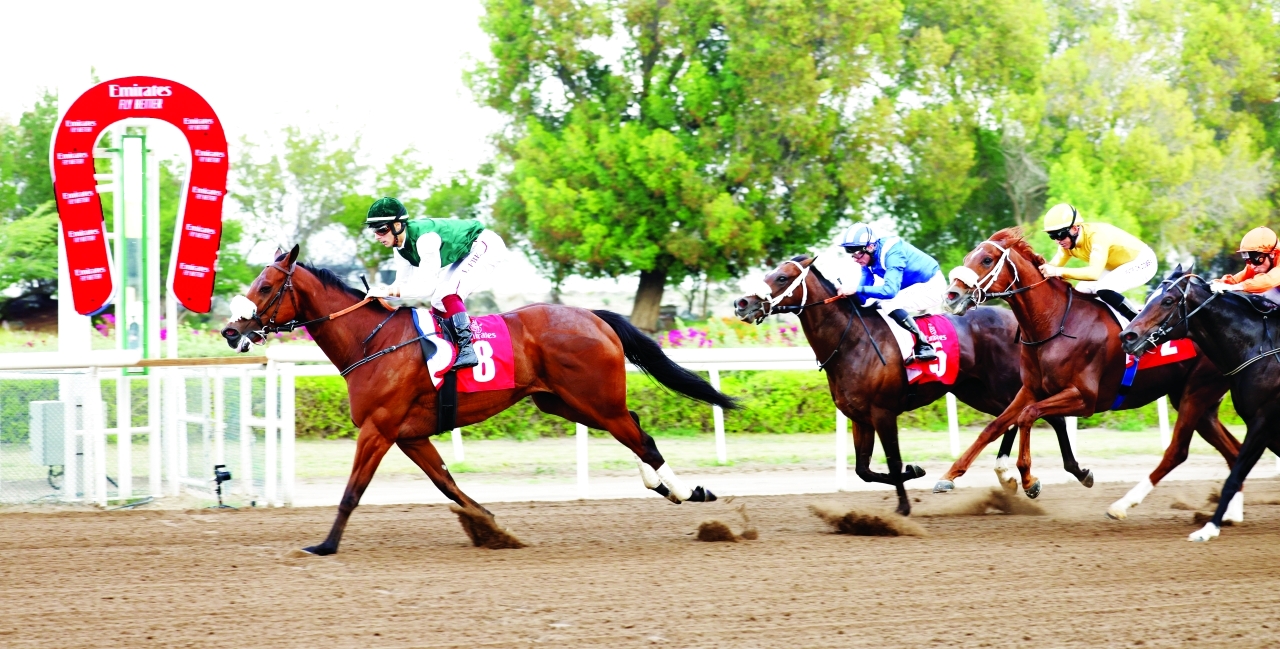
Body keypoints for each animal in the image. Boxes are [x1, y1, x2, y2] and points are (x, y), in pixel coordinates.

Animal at [220, 246, 737, 554]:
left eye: (265, 287)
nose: (230, 330)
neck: (372, 341)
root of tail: (594, 315)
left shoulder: (379, 429)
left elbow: (352, 492)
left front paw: (325, 545)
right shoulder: (409, 436)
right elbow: (446, 483)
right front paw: (489, 526)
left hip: (593, 400)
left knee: (640, 437)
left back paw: (687, 491)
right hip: (565, 402)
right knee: (635, 429)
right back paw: (665, 486)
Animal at [733, 255, 1083, 516]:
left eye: (781, 278)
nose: (741, 303)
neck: (850, 342)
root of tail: (1016, 321)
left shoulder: (883, 412)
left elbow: (893, 460)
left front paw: (905, 501)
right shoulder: (859, 417)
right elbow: (863, 470)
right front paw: (913, 476)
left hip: (1009, 385)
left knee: (1045, 418)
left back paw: (1071, 472)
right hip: (978, 391)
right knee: (1007, 421)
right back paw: (1008, 476)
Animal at [942, 228, 1240, 517]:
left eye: (986, 260)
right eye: (968, 257)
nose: (951, 295)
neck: (1054, 323)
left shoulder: (1084, 398)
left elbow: (1028, 416)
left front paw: (1028, 480)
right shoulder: (1030, 389)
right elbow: (994, 426)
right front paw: (950, 476)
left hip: (1196, 393)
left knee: (1184, 450)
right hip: (1198, 404)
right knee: (1234, 451)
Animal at [1120, 268, 1280, 541]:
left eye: (1168, 301)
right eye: (1150, 296)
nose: (1127, 336)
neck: (1260, 347)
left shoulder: (1263, 421)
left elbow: (1233, 477)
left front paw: (1209, 528)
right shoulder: (1262, 426)